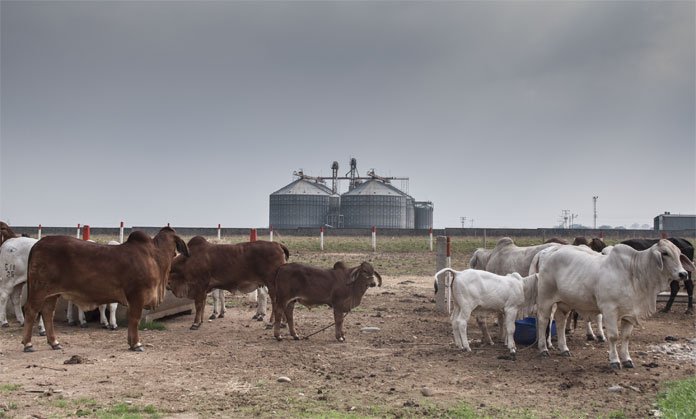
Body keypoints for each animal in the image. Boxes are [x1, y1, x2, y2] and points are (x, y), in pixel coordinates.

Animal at [22, 228, 189, 352]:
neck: (155, 257)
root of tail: (38, 244)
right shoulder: (137, 295)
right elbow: (134, 319)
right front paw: (136, 344)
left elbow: (131, 319)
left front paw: (130, 342)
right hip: (39, 289)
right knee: (31, 311)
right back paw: (28, 344)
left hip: (52, 294)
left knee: (47, 313)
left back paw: (54, 342)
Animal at [532, 241, 692, 370]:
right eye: (665, 253)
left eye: (679, 254)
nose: (683, 274)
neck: (634, 274)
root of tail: (547, 251)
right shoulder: (609, 310)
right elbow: (614, 336)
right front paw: (615, 361)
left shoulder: (630, 313)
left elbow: (626, 337)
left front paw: (627, 360)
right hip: (545, 299)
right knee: (543, 321)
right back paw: (543, 349)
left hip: (564, 303)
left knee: (560, 322)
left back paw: (564, 349)